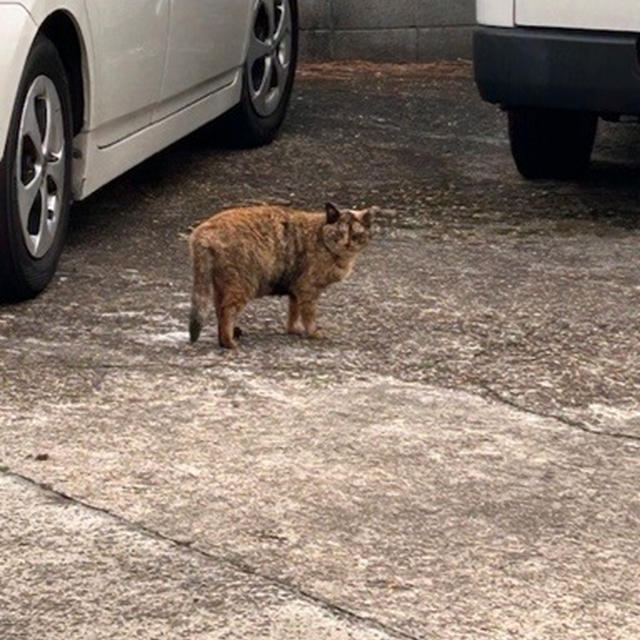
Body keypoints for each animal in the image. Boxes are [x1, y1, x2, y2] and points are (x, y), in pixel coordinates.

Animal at [188, 202, 376, 348]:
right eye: (339, 233)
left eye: (356, 235)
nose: (347, 243)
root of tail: (204, 229)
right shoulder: (307, 288)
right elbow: (308, 314)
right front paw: (312, 332)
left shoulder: (296, 288)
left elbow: (293, 311)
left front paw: (293, 329)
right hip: (243, 284)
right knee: (227, 311)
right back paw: (229, 342)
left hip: (222, 285)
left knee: (219, 310)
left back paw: (227, 337)